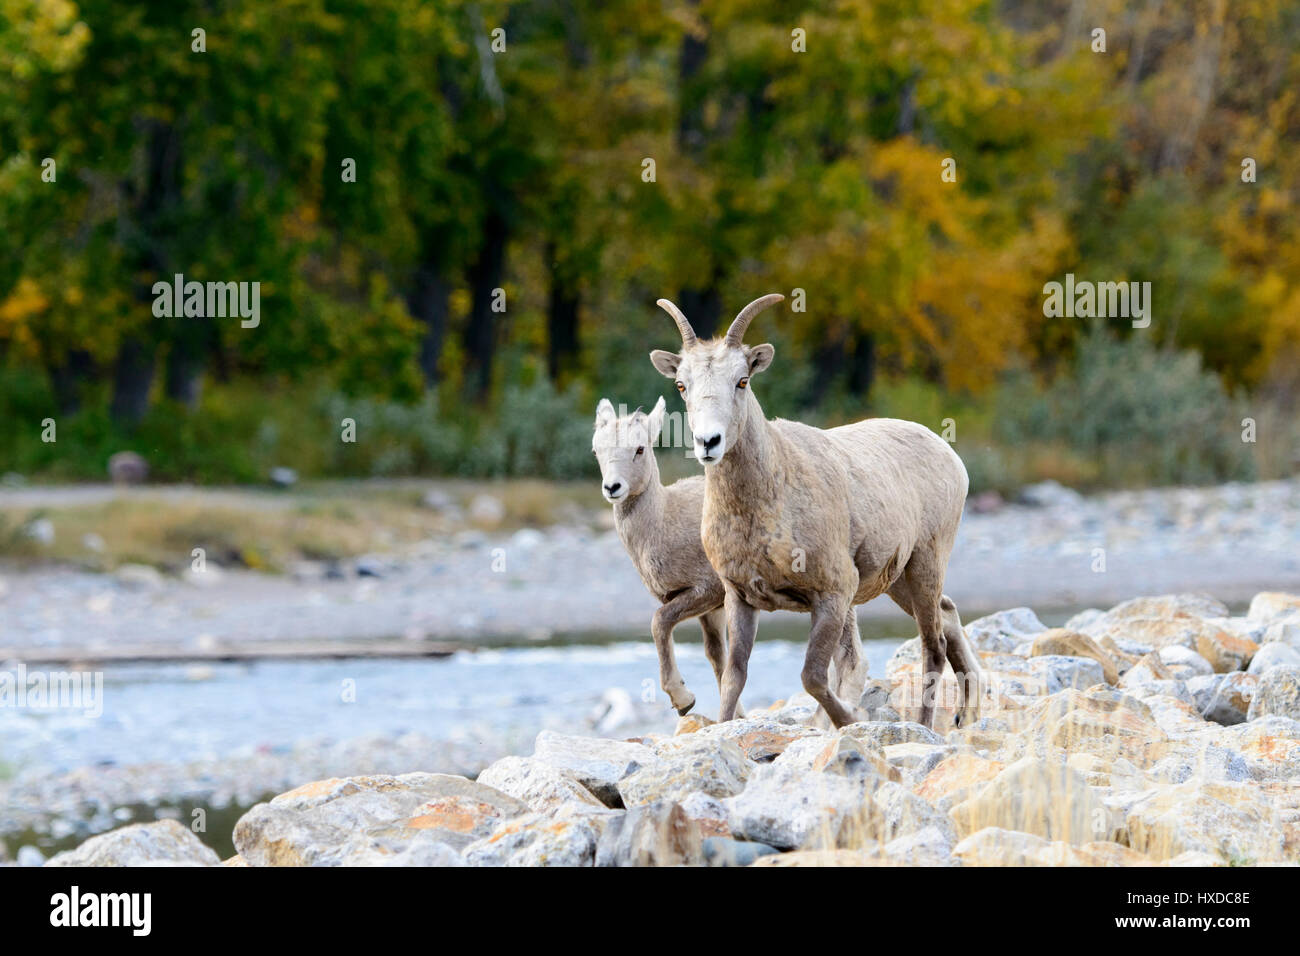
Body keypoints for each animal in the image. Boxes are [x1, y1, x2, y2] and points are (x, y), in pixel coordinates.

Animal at [648, 294, 982, 730]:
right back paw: (966, 714)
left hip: (926, 563)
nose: (709, 441)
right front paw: (711, 718)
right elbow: (734, 675)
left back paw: (923, 727)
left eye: (742, 380)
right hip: (897, 580)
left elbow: (812, 675)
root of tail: (950, 454)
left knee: (933, 644)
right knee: (948, 616)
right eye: (681, 385)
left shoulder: (833, 595)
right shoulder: (739, 597)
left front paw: (851, 719)